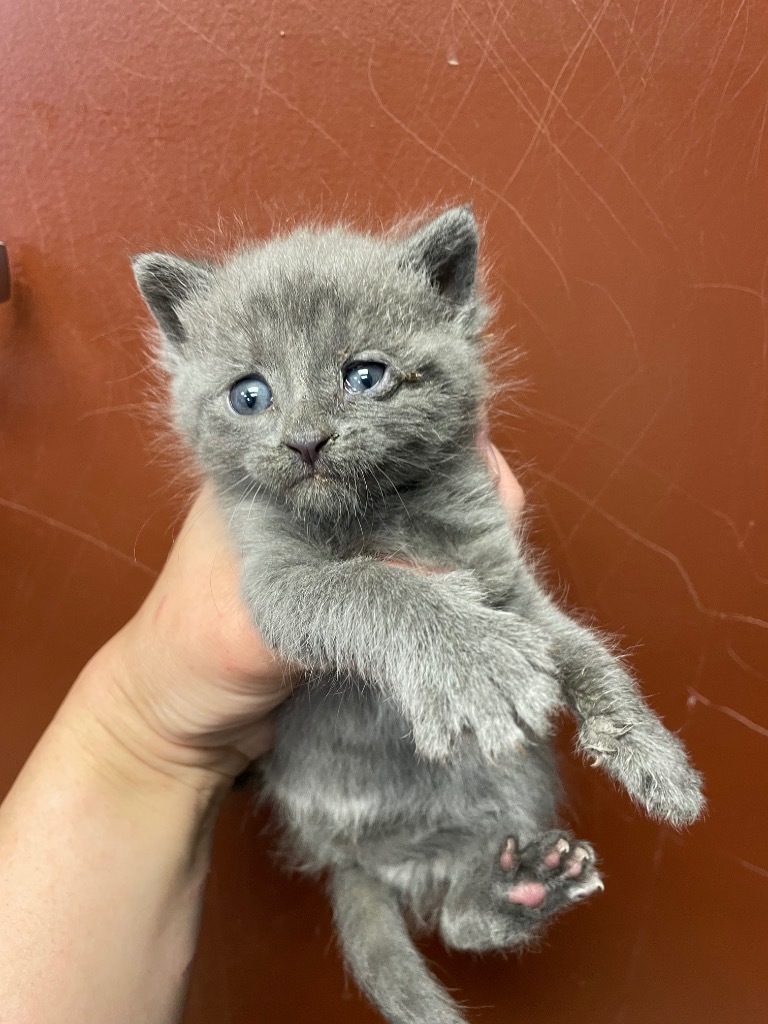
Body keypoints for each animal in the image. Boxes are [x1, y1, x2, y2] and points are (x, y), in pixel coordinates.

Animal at [132, 207, 704, 1024]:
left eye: (365, 375)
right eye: (249, 394)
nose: (305, 441)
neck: (379, 513)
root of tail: (351, 854)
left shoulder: (504, 577)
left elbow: (586, 653)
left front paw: (657, 763)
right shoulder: (276, 583)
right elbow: (371, 587)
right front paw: (479, 665)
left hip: (516, 775)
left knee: (460, 918)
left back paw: (520, 889)